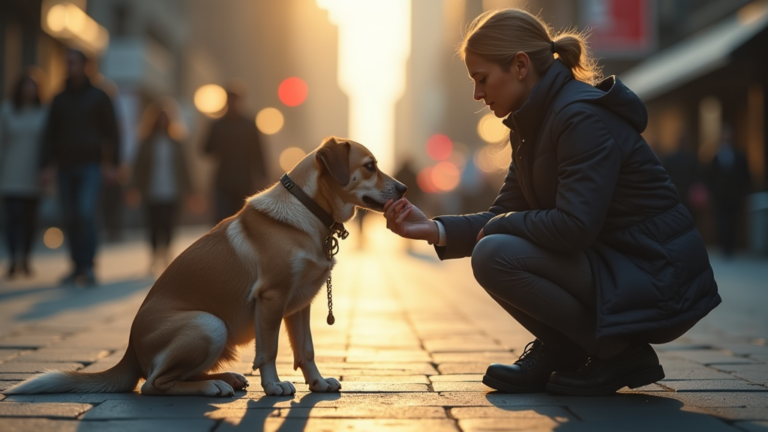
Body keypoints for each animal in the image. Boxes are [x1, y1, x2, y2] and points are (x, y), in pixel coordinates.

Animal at [6, 137, 408, 396]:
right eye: (370, 167)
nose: (404, 188)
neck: (309, 211)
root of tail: (130, 352)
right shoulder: (272, 297)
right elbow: (269, 350)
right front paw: (273, 386)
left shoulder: (299, 304)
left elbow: (305, 350)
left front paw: (318, 383)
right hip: (209, 324)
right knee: (153, 384)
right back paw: (211, 386)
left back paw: (227, 378)